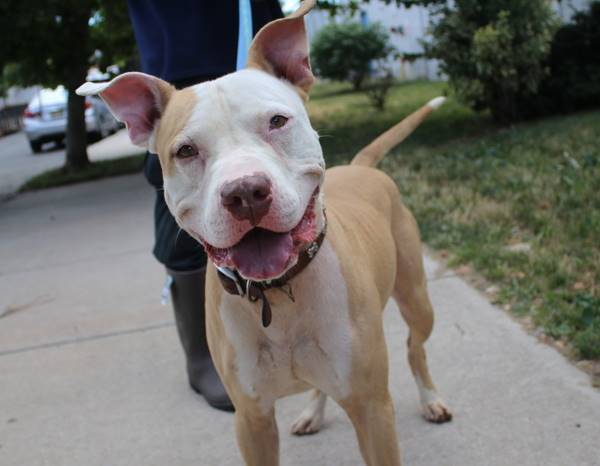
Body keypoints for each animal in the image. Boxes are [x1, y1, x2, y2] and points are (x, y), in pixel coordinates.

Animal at [78, 0, 450, 462]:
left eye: (277, 121)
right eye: (185, 150)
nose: (244, 192)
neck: (279, 291)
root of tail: (361, 166)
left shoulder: (372, 409)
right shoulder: (251, 419)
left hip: (416, 298)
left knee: (415, 348)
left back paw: (430, 399)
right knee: (323, 386)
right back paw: (312, 412)